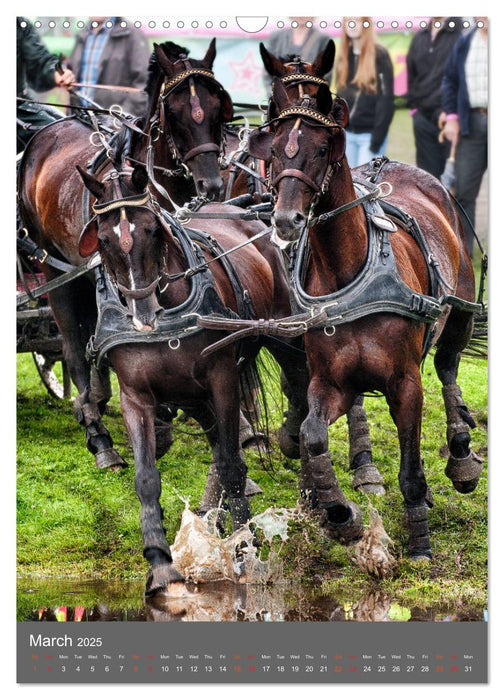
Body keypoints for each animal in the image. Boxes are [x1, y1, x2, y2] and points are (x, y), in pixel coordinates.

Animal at [249, 76, 484, 556]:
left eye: (323, 148)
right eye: (276, 148)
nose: (285, 220)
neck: (351, 271)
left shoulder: (405, 383)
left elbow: (411, 467)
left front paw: (419, 543)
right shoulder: (330, 381)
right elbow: (312, 433)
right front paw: (338, 511)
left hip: (460, 314)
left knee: (448, 369)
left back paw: (460, 456)